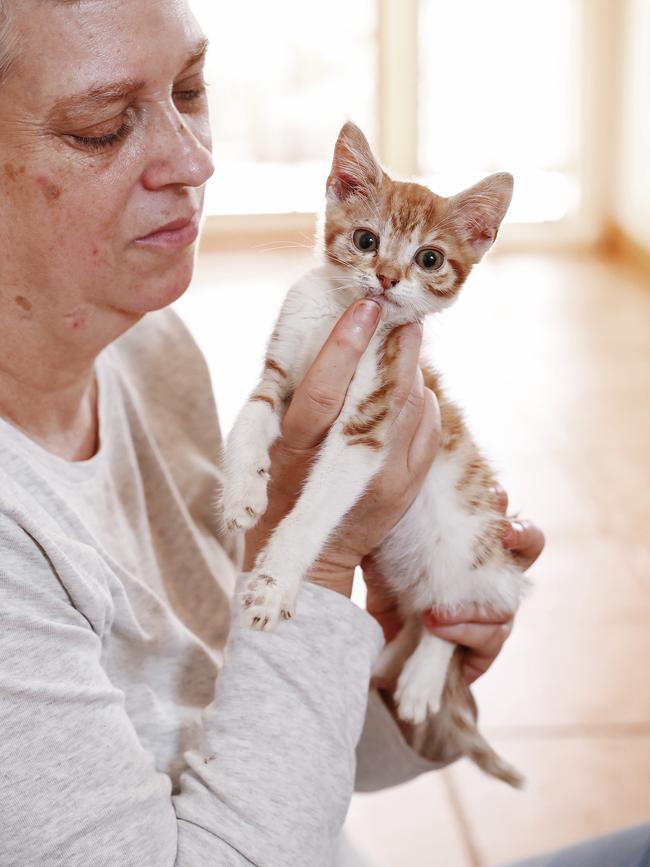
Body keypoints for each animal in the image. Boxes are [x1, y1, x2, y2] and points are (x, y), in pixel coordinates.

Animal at [221, 124, 528, 792]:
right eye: (367, 241)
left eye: (429, 259)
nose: (385, 278)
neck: (342, 316)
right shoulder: (280, 376)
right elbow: (249, 418)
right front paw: (242, 492)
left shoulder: (368, 425)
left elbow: (314, 511)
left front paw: (274, 583)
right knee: (416, 617)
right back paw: (385, 662)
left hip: (479, 557)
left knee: (448, 618)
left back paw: (418, 680)